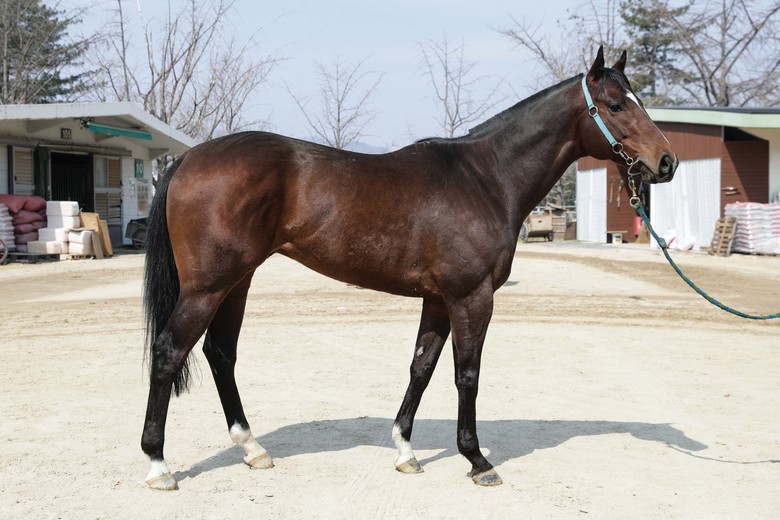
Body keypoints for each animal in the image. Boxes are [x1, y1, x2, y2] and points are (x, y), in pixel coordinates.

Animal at [141, 46, 678, 490]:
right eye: (616, 105)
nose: (667, 161)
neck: (487, 179)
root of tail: (187, 158)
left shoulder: (438, 299)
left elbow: (422, 366)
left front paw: (405, 452)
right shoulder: (471, 297)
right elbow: (467, 374)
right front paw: (477, 460)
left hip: (237, 282)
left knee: (220, 354)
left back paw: (253, 449)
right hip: (208, 287)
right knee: (169, 352)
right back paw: (158, 465)